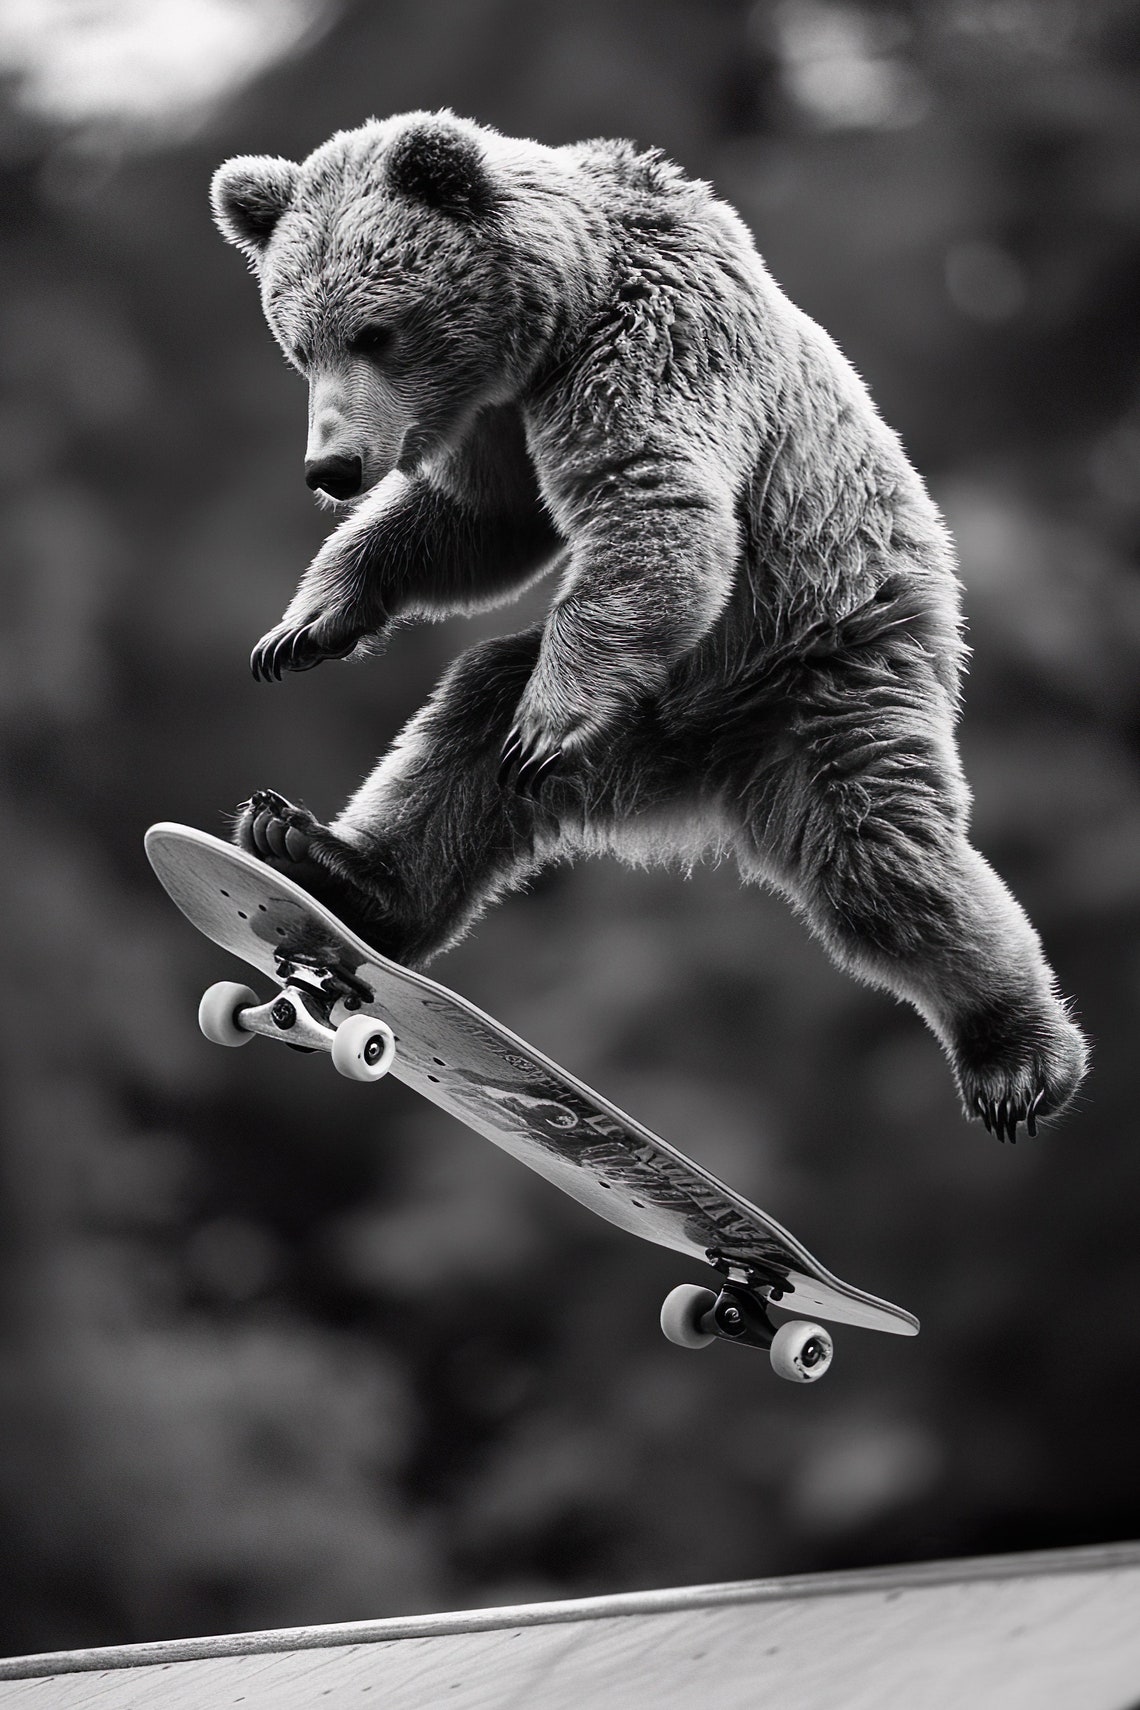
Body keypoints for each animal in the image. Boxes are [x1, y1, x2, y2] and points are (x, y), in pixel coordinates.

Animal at [210, 109, 1088, 1143]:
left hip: (825, 664)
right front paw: (305, 627)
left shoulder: (654, 345)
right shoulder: (498, 423)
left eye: (375, 332)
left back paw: (1019, 1058)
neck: (552, 319)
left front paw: (541, 719)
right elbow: (476, 524)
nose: (333, 466)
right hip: (644, 722)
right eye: (299, 345)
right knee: (467, 727)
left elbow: (654, 501)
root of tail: (711, 784)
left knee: (883, 861)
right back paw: (323, 856)